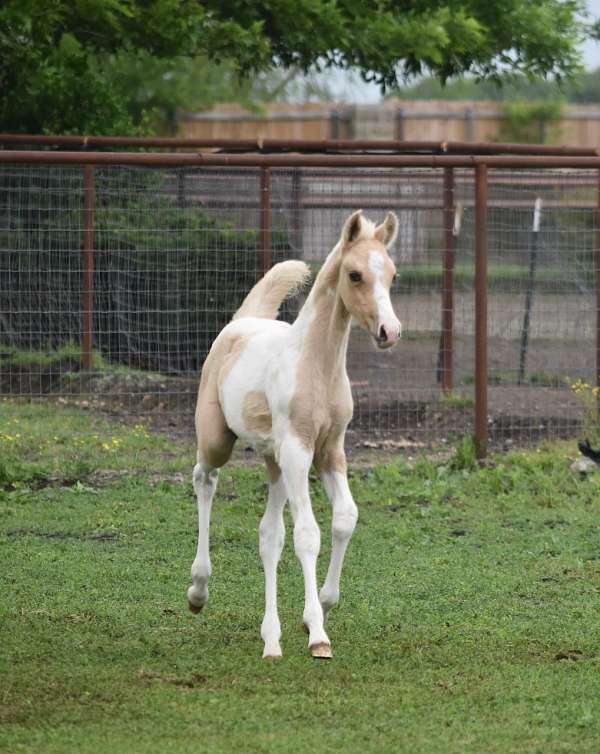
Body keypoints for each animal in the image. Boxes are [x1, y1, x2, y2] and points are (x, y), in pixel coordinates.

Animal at [188, 209, 400, 656]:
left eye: (392, 274)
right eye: (355, 275)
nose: (390, 332)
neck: (316, 365)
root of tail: (239, 323)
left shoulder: (330, 449)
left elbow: (345, 518)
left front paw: (322, 605)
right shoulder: (299, 450)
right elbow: (307, 534)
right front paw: (318, 633)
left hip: (275, 461)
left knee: (270, 534)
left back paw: (271, 636)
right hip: (221, 442)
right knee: (205, 479)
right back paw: (198, 591)